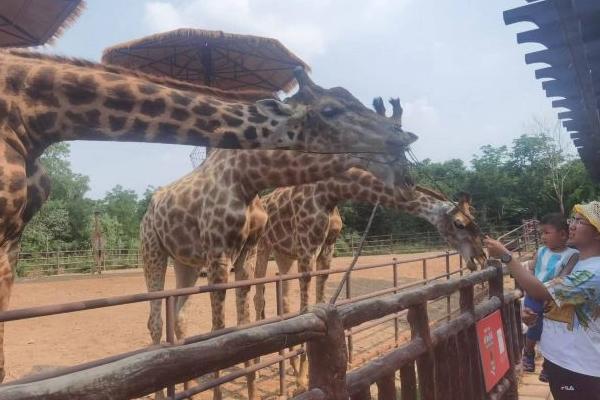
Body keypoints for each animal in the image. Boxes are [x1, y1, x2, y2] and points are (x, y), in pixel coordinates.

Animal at [0, 48, 412, 382]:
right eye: (330, 109)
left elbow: (246, 319)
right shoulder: (220, 250)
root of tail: (149, 209)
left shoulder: (248, 250)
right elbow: (221, 326)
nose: (404, 140)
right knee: (155, 318)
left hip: (187, 264)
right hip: (152, 250)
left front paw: (252, 370)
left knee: (179, 318)